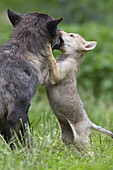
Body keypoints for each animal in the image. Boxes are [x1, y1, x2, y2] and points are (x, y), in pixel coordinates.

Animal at [0, 8, 62, 148]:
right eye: (57, 29)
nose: (62, 32)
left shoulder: (5, 120)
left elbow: (12, 142)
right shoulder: (18, 113)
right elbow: (27, 140)